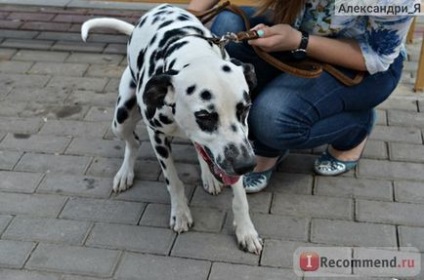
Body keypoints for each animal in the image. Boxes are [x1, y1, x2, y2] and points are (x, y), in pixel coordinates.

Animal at [81, 3, 262, 254]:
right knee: (132, 142)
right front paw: (181, 214)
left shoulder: (240, 142)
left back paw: (209, 177)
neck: (194, 54)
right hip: (121, 118)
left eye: (245, 108)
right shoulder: (157, 137)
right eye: (204, 116)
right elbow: (173, 182)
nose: (246, 165)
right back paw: (125, 173)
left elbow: (239, 196)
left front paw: (246, 230)